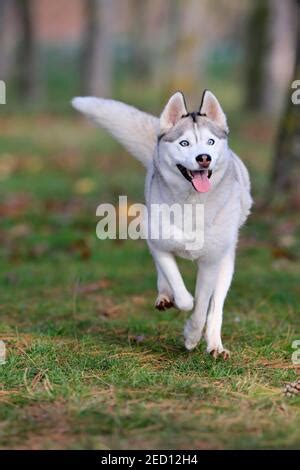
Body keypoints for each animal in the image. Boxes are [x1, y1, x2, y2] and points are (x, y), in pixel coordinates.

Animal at [73, 91, 253, 356]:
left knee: (216, 307)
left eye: (210, 142)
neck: (191, 204)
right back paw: (165, 295)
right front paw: (178, 303)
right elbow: (183, 293)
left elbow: (202, 308)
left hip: (226, 260)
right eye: (184, 143)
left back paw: (214, 345)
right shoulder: (159, 245)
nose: (204, 158)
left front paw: (192, 337)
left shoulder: (210, 262)